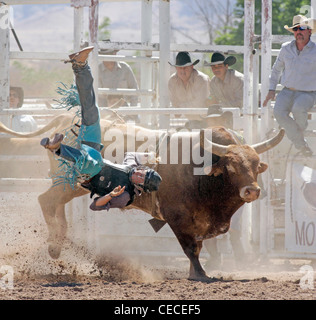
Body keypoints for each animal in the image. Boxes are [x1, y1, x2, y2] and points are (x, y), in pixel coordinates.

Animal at [0, 117, 284, 280]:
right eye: (232, 167)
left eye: (256, 165)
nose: (252, 191)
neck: (200, 171)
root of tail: (65, 125)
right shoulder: (177, 218)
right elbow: (190, 248)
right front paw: (201, 274)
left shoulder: (201, 222)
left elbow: (199, 246)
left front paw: (194, 272)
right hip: (68, 182)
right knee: (46, 200)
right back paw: (55, 245)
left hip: (73, 186)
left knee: (54, 203)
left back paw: (58, 241)